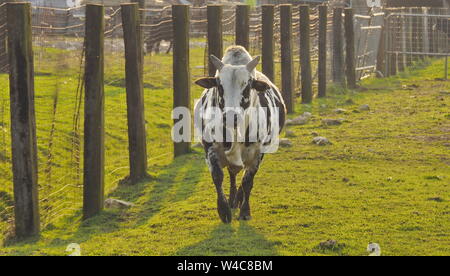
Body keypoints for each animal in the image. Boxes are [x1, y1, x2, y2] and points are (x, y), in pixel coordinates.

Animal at [192, 44, 284, 222]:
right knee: (232, 174)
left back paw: (238, 200)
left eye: (247, 86)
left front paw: (245, 211)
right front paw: (224, 210)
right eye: (219, 86)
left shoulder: (258, 153)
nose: (231, 117)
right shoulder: (209, 147)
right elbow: (218, 176)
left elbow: (247, 180)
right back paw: (232, 200)